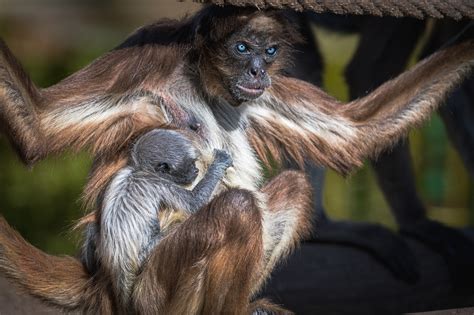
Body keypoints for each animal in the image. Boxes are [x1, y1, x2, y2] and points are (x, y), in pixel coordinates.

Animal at [0, 4, 472, 315]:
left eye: (268, 52)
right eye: (242, 48)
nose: (258, 72)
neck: (203, 82)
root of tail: (103, 284)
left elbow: (355, 132)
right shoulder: (146, 58)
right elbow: (39, 125)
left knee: (291, 188)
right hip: (155, 292)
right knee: (238, 209)